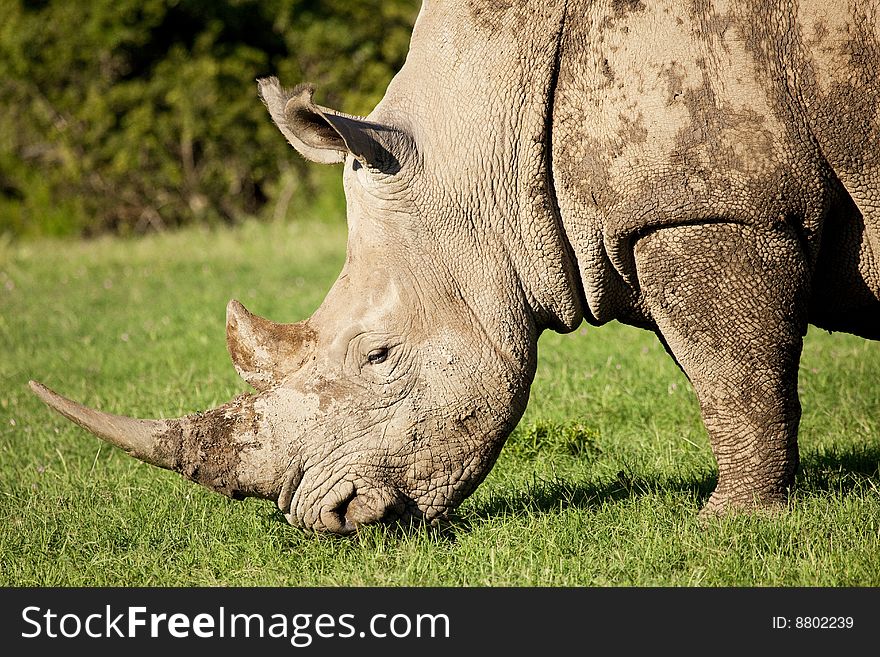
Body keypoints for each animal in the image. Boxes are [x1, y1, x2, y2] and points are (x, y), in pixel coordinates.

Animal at [31, 0, 876, 532]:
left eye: (378, 354)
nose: (328, 519)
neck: (484, 137)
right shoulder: (659, 221)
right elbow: (727, 368)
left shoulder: (707, 206)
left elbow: (734, 375)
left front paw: (731, 525)